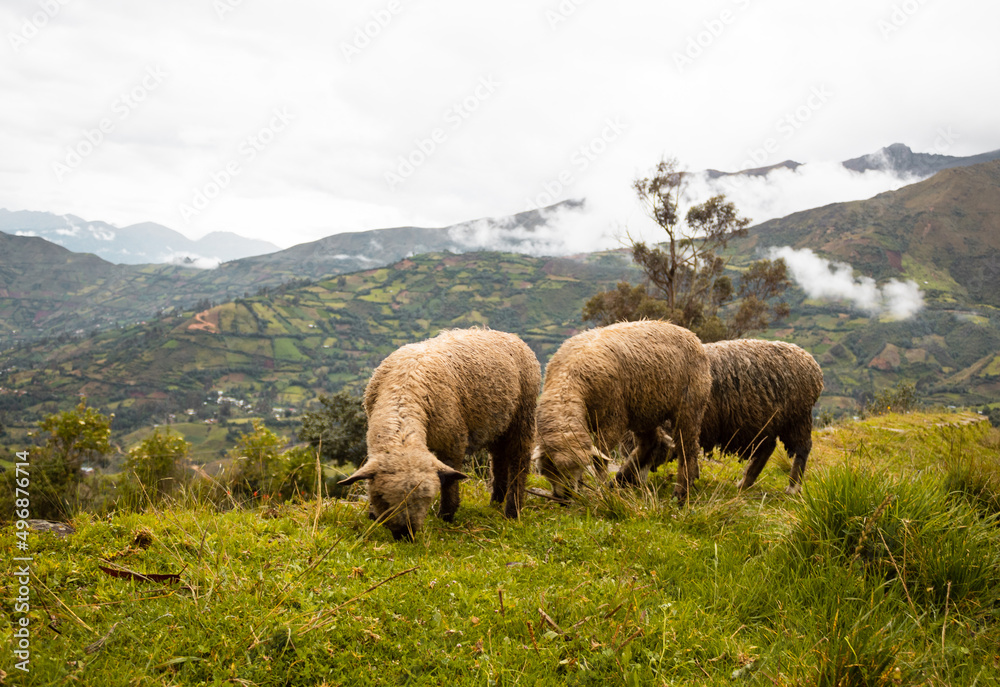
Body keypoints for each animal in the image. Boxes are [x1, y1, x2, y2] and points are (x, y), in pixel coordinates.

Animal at [339, 328, 541, 540]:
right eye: (383, 498)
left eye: (426, 500)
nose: (406, 535)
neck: (404, 390)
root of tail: (507, 334)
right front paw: (372, 514)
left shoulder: (453, 440)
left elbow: (449, 480)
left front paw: (446, 515)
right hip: (498, 423)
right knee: (499, 458)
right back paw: (495, 501)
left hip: (523, 414)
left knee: (519, 462)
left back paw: (512, 510)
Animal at [533, 320, 711, 504]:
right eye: (553, 466)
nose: (567, 496)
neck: (569, 379)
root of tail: (690, 334)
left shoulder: (613, 418)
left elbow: (600, 459)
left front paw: (601, 491)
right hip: (645, 410)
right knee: (651, 443)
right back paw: (621, 478)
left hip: (689, 406)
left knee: (687, 449)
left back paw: (680, 493)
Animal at [623, 339, 823, 495]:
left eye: (655, 449)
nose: (633, 484)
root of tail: (810, 361)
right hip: (764, 420)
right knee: (767, 447)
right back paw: (745, 482)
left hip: (797, 418)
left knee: (802, 448)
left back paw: (793, 487)